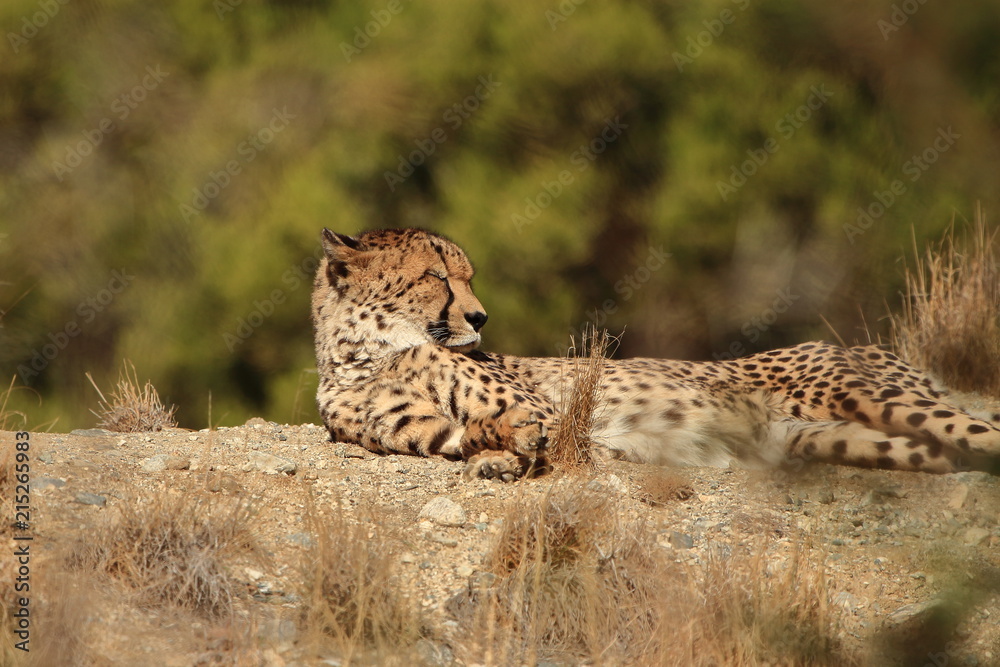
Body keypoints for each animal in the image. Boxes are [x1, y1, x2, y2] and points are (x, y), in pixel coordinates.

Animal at [311, 227, 1000, 481]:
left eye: (468, 277)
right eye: (436, 277)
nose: (479, 317)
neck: (369, 354)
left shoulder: (554, 412)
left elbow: (538, 427)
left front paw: (517, 452)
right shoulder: (429, 433)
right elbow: (474, 432)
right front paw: (497, 455)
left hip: (867, 395)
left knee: (977, 428)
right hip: (835, 439)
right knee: (949, 451)